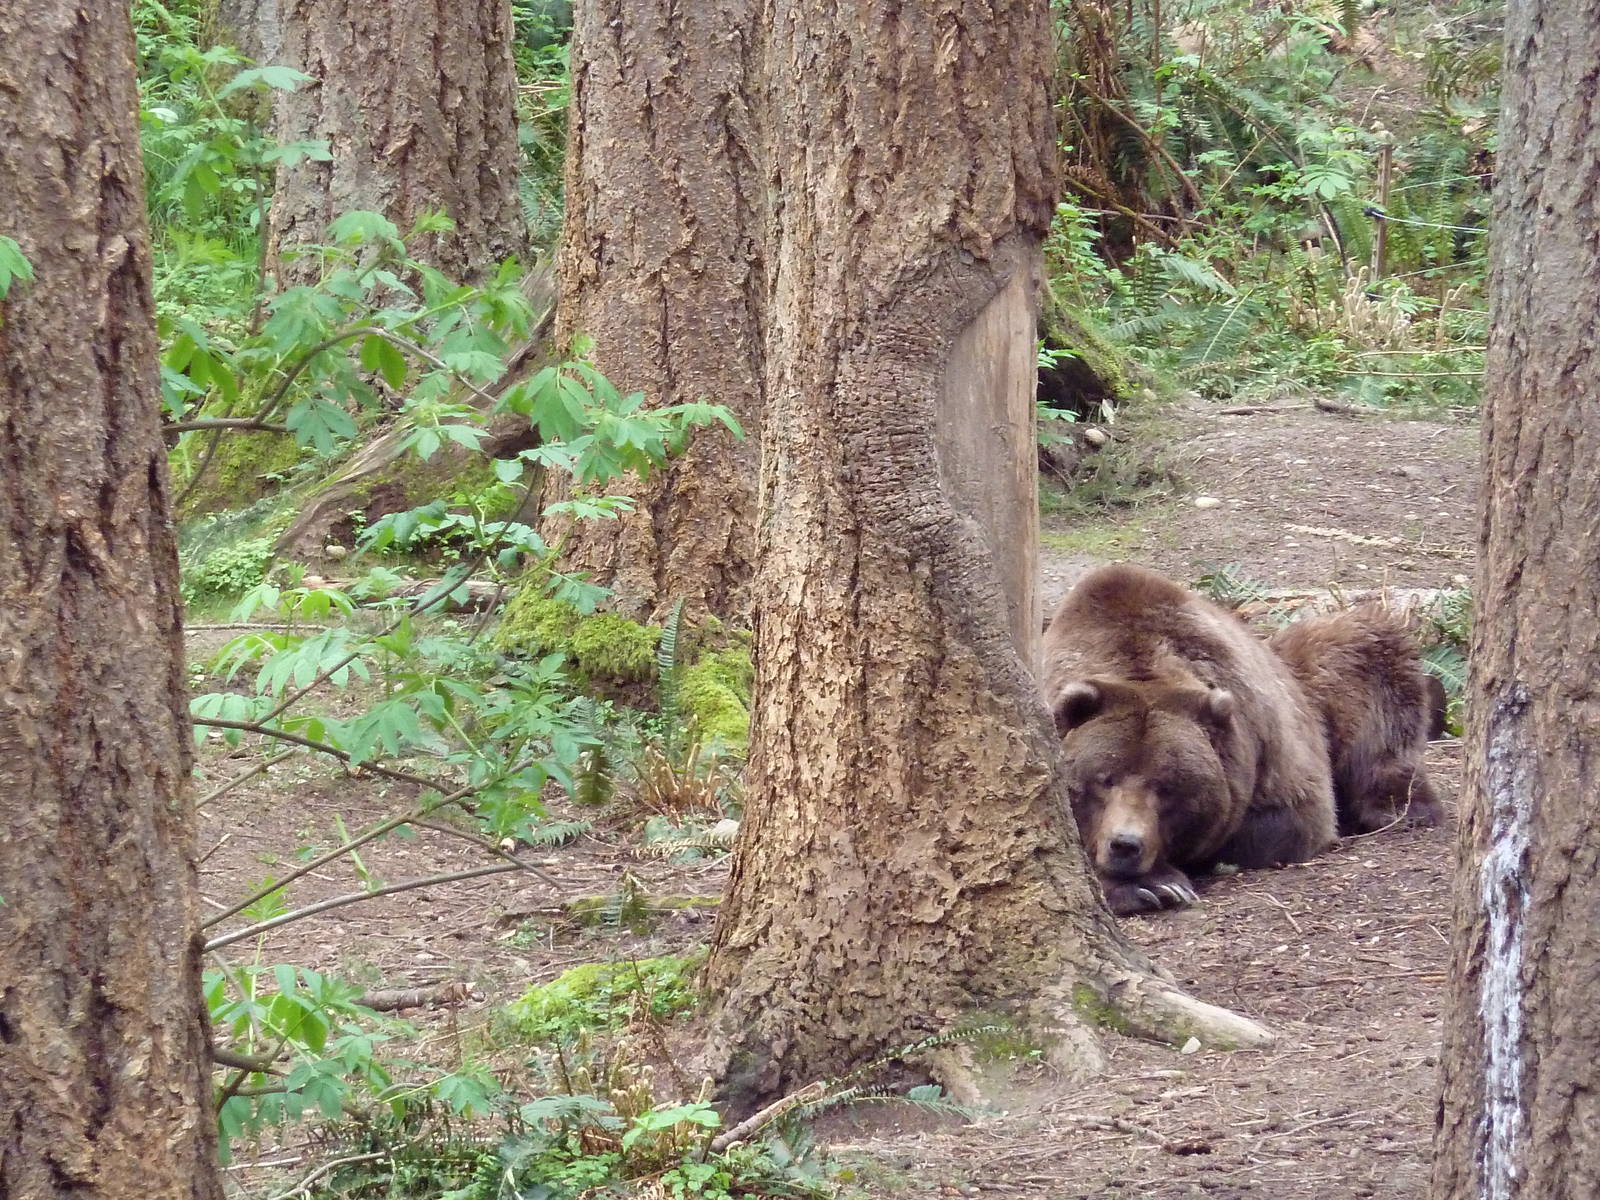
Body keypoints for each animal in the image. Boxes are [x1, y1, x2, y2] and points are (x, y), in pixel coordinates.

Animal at [1042, 563, 1338, 916]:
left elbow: (1290, 819)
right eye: (1104, 779)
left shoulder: (1268, 745)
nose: (1125, 845)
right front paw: (1152, 886)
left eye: (1166, 787)